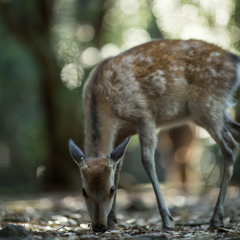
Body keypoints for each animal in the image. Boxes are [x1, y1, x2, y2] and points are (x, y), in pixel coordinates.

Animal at [68, 39, 240, 232]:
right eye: (83, 191)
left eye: (111, 190)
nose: (98, 226)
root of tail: (235, 60)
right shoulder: (121, 133)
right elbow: (118, 167)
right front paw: (112, 220)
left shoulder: (145, 116)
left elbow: (147, 161)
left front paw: (167, 220)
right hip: (212, 110)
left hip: (207, 105)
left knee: (230, 148)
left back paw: (216, 217)